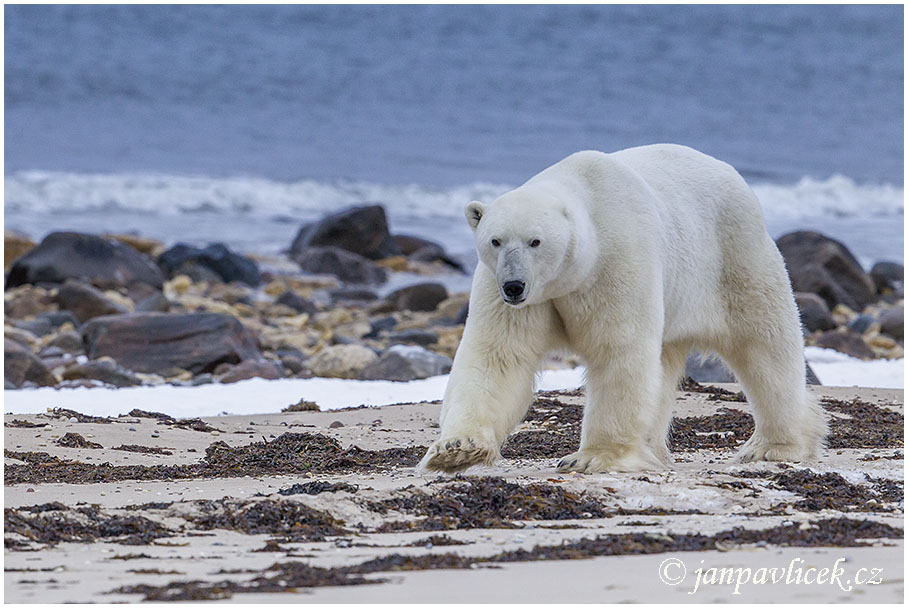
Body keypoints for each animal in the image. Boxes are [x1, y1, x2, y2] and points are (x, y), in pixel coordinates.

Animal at [422, 145, 828, 472]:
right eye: (495, 240)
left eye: (535, 241)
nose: (514, 285)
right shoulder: (511, 294)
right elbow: (498, 356)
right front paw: (457, 449)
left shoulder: (616, 262)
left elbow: (618, 350)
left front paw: (593, 457)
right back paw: (654, 449)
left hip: (734, 256)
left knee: (764, 347)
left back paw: (772, 446)